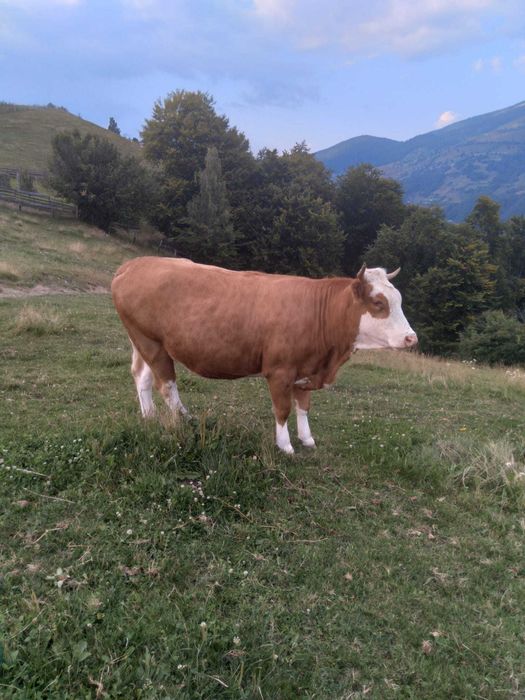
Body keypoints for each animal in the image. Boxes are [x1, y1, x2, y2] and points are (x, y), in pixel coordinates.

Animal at [111, 257, 417, 454]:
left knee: (142, 377)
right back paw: (184, 419)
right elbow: (282, 408)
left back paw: (149, 416)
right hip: (150, 342)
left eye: (399, 300)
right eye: (378, 303)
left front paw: (307, 438)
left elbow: (303, 406)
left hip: (145, 342)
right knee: (166, 385)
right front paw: (285, 445)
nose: (411, 337)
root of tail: (134, 264)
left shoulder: (306, 370)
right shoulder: (280, 371)